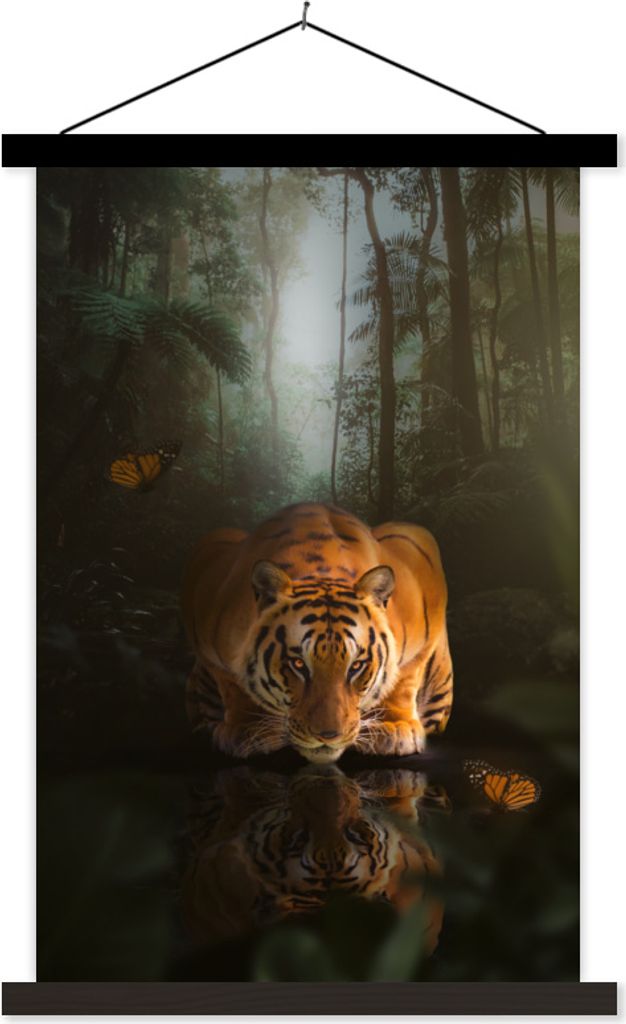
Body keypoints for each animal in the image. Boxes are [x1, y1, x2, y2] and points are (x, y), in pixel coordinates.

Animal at [181, 502, 453, 763]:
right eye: (298, 664)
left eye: (356, 666)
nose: (328, 736)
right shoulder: (206, 628)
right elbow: (234, 686)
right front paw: (248, 730)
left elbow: (404, 678)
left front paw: (393, 728)